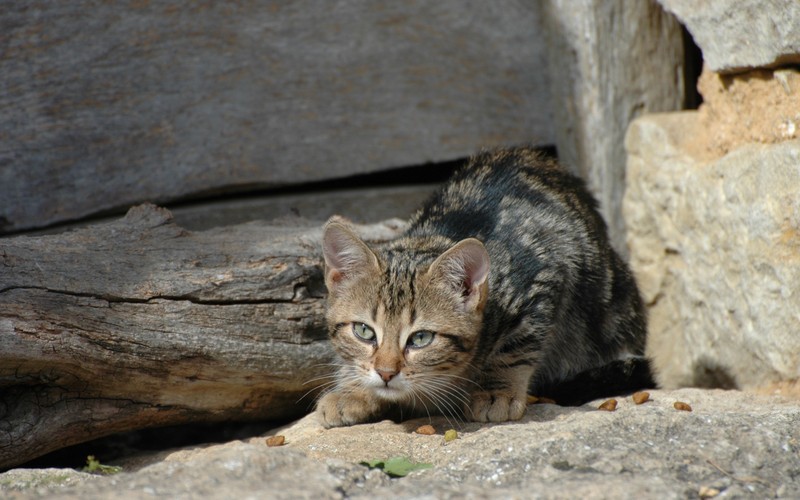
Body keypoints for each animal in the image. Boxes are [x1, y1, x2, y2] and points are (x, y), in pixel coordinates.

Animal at [316, 146, 648, 428]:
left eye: (421, 338)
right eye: (364, 331)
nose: (386, 373)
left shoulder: (545, 274)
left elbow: (516, 345)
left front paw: (495, 390)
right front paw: (353, 391)